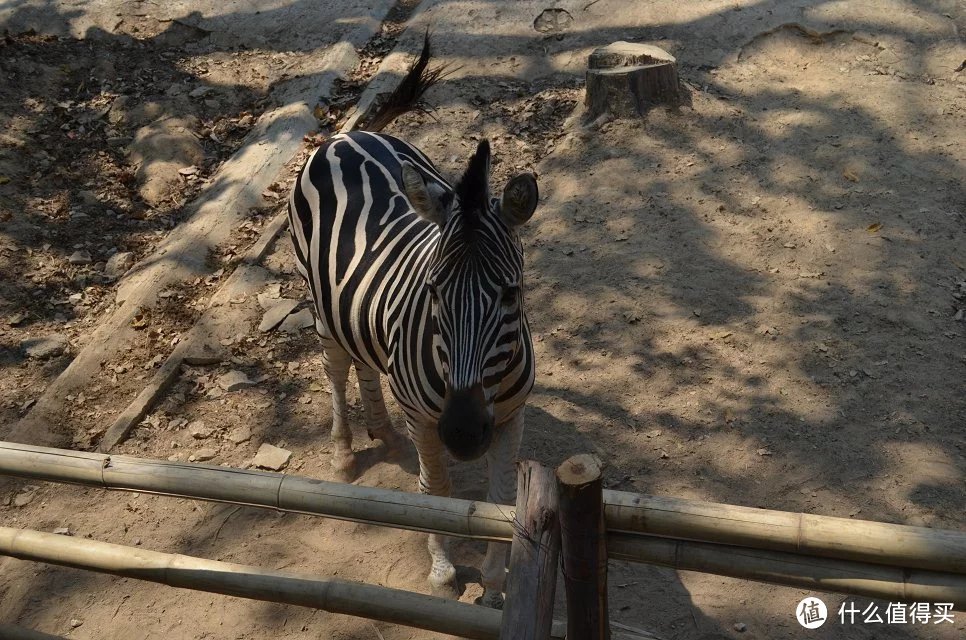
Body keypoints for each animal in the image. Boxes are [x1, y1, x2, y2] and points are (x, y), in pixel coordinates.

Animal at [288, 37, 544, 608]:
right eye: (433, 290)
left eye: (512, 293)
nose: (464, 433)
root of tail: (346, 135)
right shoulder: (429, 419)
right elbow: (437, 491)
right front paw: (444, 574)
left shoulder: (512, 416)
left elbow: (500, 500)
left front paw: (496, 588)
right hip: (319, 303)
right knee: (336, 368)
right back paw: (343, 454)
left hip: (357, 310)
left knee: (364, 359)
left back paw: (383, 431)